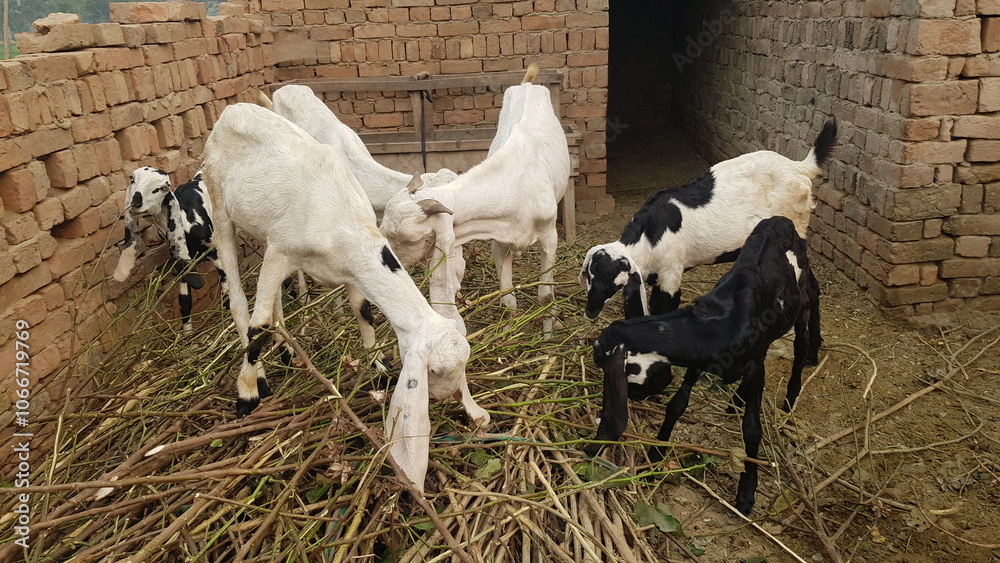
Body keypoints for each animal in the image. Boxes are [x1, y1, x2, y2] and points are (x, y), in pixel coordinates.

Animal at [112, 167, 224, 333]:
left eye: (164, 187)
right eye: (132, 179)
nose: (136, 203)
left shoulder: (218, 254)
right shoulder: (184, 266)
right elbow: (184, 301)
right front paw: (187, 334)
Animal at [201, 103, 489, 492]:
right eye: (434, 370)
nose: (449, 396)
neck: (343, 225)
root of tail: (232, 109)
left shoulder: (348, 268)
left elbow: (362, 309)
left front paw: (377, 366)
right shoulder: (281, 251)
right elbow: (259, 326)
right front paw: (247, 394)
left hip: (262, 228)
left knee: (274, 304)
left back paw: (288, 350)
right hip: (219, 200)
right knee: (242, 303)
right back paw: (257, 373)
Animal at [379, 64, 571, 335]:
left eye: (407, 240)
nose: (388, 262)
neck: (517, 186)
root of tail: (527, 83)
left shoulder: (549, 237)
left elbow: (546, 297)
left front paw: (547, 336)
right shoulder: (499, 239)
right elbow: (507, 298)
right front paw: (508, 331)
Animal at [580, 120, 836, 319]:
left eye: (615, 283)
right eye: (590, 276)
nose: (591, 311)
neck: (649, 236)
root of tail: (799, 167)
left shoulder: (670, 273)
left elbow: (663, 308)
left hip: (796, 232)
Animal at [585, 216, 822, 516]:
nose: (640, 396)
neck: (720, 325)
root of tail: (781, 220)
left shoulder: (755, 366)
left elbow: (752, 429)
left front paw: (747, 492)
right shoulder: (698, 363)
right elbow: (677, 405)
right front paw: (656, 456)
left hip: (801, 301)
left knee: (802, 342)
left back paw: (791, 395)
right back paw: (736, 400)